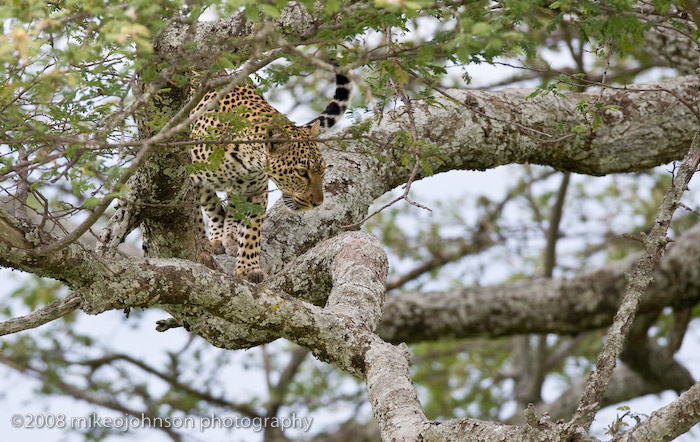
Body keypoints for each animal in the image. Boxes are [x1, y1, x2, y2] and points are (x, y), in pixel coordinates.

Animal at [190, 71, 350, 282]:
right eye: (302, 172)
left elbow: (251, 230)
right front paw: (202, 242)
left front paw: (248, 268)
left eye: (322, 171)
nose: (317, 203)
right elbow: (200, 212)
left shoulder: (256, 190)